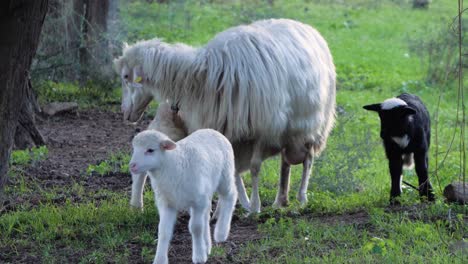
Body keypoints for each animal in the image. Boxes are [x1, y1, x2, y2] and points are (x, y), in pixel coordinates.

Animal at [129, 129, 236, 262]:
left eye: (150, 150)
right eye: (134, 149)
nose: (132, 166)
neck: (171, 166)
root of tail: (212, 130)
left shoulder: (197, 202)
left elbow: (196, 228)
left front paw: (199, 256)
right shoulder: (167, 203)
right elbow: (163, 231)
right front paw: (160, 259)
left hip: (225, 175)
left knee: (230, 196)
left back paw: (221, 232)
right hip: (205, 191)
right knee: (206, 215)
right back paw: (207, 245)